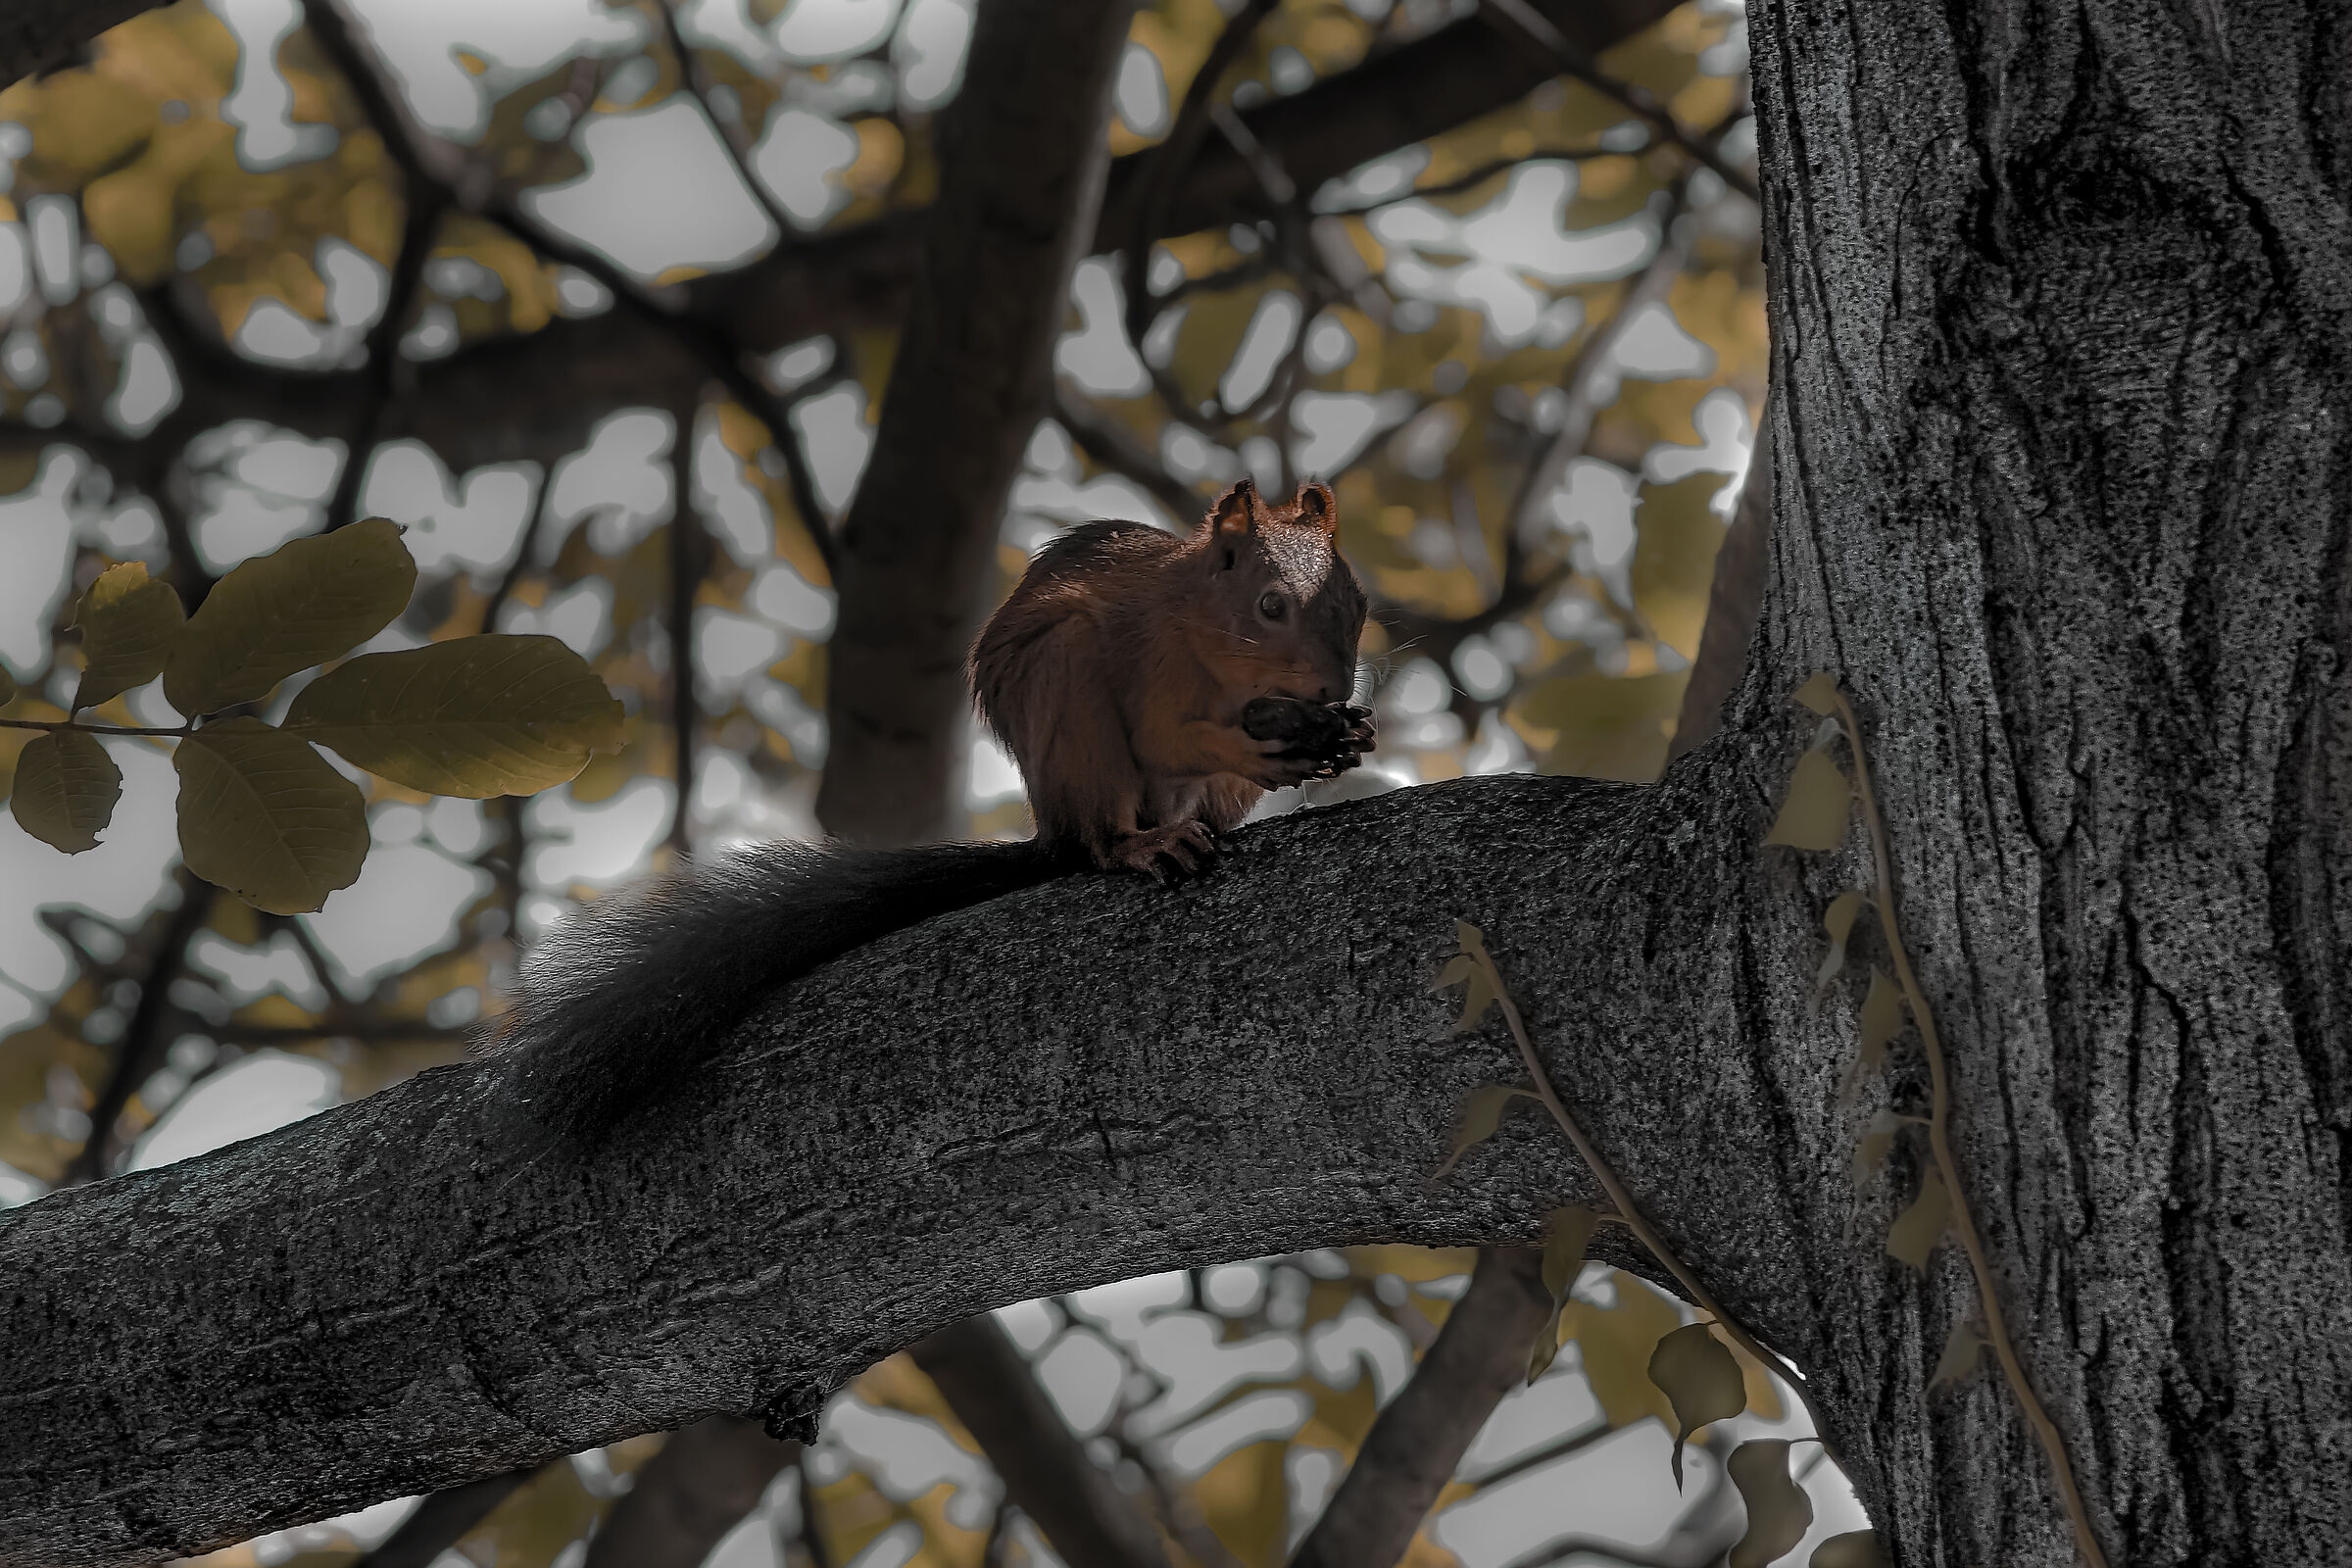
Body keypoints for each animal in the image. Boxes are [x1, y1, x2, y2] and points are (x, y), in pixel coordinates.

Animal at [493, 477, 1374, 1135]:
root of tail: (1051, 826)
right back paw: (1137, 845)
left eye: (1360, 602)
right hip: (1068, 689)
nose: (1332, 686)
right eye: (1269, 605)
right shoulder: (1150, 658)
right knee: (1099, 836)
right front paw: (1262, 742)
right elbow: (1166, 733)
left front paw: (1350, 730)